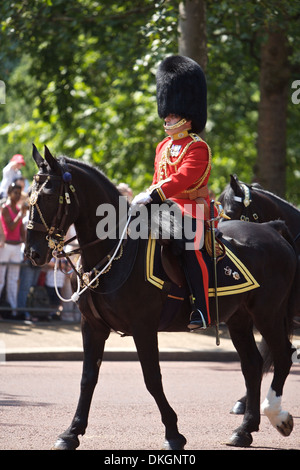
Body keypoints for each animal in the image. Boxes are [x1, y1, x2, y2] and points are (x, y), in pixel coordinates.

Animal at [25, 146, 298, 448]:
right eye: (30, 196)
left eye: (49, 194)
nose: (33, 253)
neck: (114, 251)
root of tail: (272, 229)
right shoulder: (93, 326)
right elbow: (88, 378)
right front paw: (71, 432)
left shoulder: (143, 327)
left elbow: (152, 378)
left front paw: (174, 432)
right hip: (239, 318)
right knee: (252, 364)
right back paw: (245, 429)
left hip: (268, 313)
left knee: (283, 355)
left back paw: (277, 416)